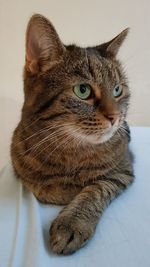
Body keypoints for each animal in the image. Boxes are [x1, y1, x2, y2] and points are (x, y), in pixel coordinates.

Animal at [11, 14, 134, 255]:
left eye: (117, 90)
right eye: (82, 90)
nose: (115, 117)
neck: (70, 152)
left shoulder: (124, 169)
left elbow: (96, 188)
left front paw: (72, 222)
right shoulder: (19, 168)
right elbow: (38, 184)